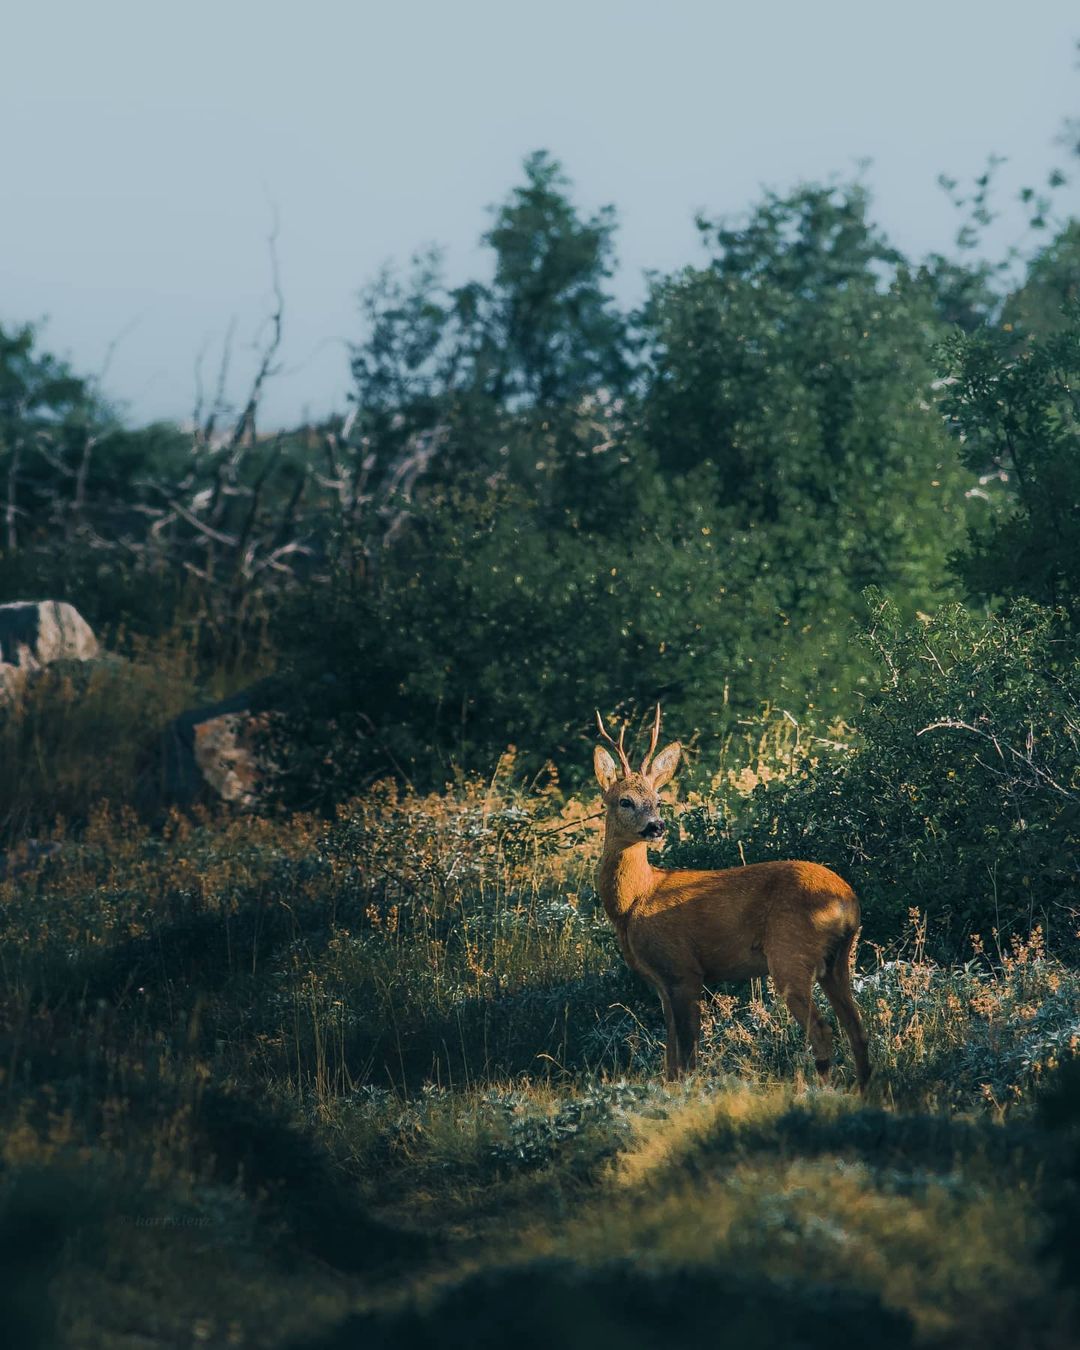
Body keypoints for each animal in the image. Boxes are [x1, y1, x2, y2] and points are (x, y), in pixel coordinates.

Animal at [591, 707, 869, 1085]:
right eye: (625, 801)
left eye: (658, 800)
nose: (656, 826)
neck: (635, 900)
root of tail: (847, 900)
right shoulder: (662, 981)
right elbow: (670, 1056)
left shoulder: (684, 970)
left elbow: (687, 1054)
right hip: (838, 961)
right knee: (857, 1027)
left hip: (790, 953)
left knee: (823, 1030)